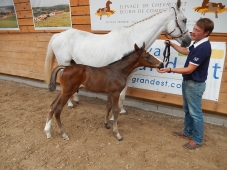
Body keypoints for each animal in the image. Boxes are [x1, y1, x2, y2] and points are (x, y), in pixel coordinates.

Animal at [43, 0, 191, 117]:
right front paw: (119, 111)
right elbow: (122, 94)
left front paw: (121, 110)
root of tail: (59, 35)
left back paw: (76, 99)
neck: (131, 39)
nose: (188, 42)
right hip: (64, 63)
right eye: (184, 20)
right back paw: (69, 104)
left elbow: (123, 95)